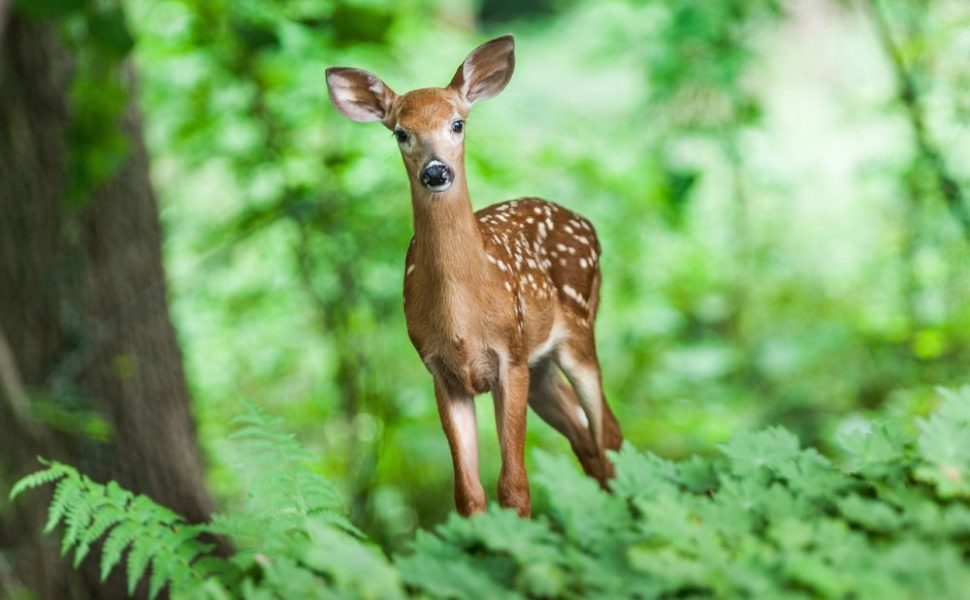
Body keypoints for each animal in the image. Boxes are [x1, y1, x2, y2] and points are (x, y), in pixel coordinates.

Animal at [326, 35, 620, 516]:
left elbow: (514, 487)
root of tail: (586, 223)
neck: (462, 319)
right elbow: (468, 494)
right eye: (400, 132)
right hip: (541, 368)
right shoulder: (441, 372)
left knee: (608, 432)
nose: (435, 171)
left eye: (458, 123)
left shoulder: (509, 356)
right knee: (586, 440)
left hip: (577, 331)